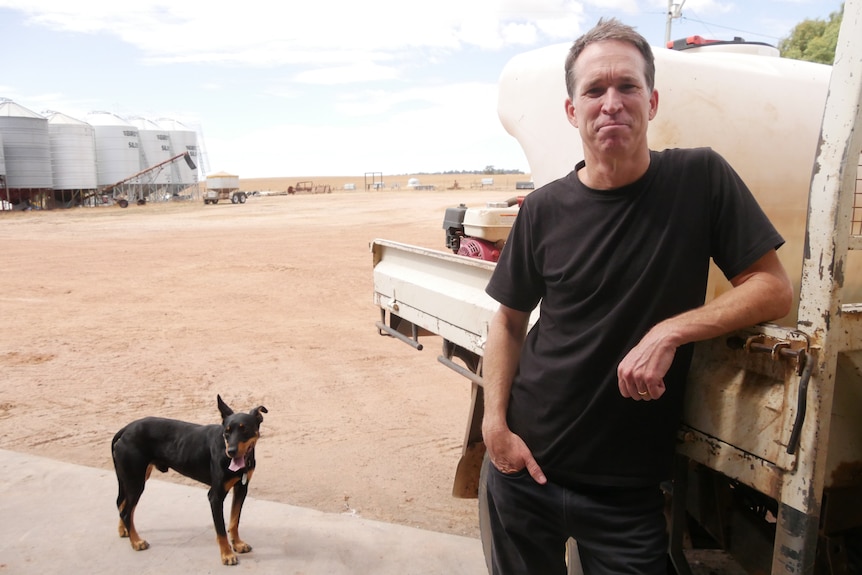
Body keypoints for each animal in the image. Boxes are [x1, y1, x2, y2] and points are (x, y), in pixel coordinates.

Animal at [113, 398, 266, 564]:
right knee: (126, 512)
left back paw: (125, 530)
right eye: (227, 431)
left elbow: (234, 521)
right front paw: (227, 555)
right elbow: (221, 530)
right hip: (136, 481)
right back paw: (136, 541)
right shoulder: (215, 496)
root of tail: (125, 429)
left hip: (133, 478)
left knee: (122, 504)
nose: (231, 451)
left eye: (245, 430)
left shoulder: (241, 488)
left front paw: (237, 544)